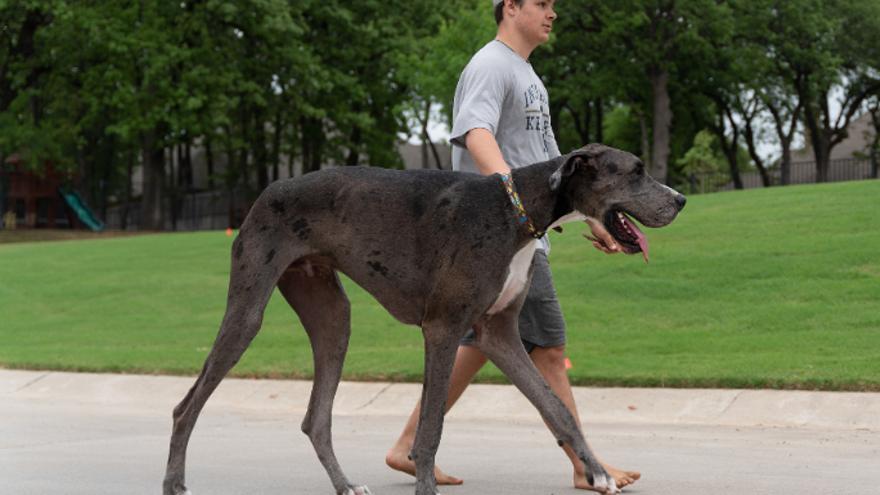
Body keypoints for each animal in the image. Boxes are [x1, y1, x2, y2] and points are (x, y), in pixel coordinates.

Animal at [163, 143, 688, 495]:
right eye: (635, 172)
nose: (681, 200)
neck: (517, 210)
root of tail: (266, 190)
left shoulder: (497, 335)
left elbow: (555, 406)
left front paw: (597, 470)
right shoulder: (443, 330)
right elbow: (431, 427)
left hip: (333, 317)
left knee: (316, 418)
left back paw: (346, 484)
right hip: (248, 310)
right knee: (186, 406)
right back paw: (175, 482)